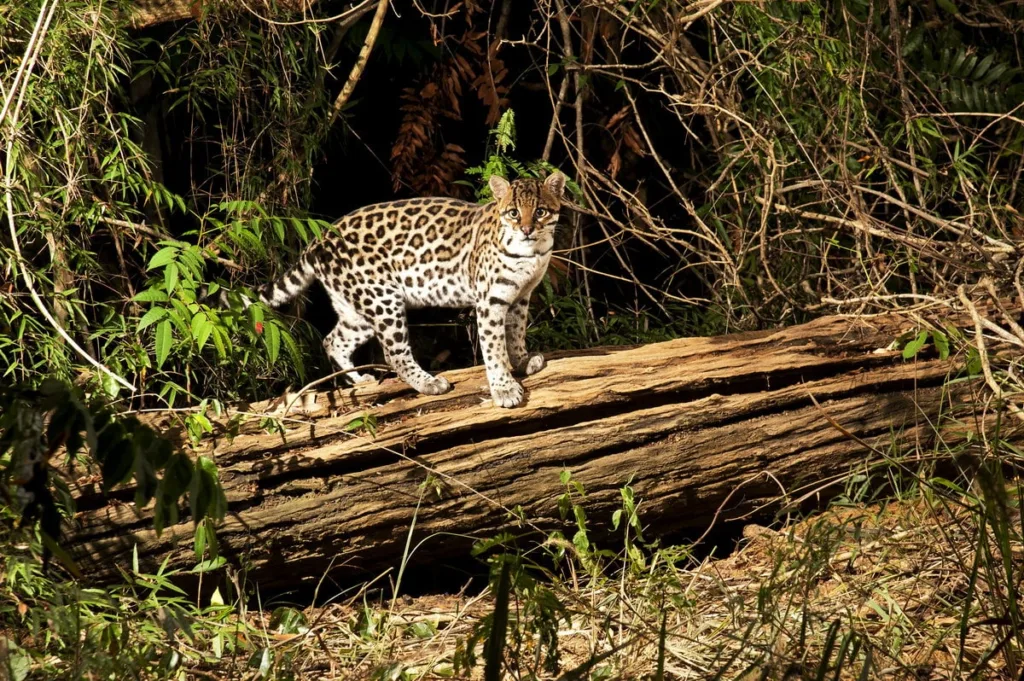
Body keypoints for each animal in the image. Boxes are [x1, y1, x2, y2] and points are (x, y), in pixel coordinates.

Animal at [252, 174, 565, 409]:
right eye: (514, 213)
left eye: (540, 211)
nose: (526, 229)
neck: (532, 252)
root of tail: (320, 238)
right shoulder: (490, 301)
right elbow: (494, 347)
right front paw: (504, 388)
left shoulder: (520, 297)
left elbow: (515, 333)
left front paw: (522, 361)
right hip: (383, 299)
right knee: (394, 354)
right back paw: (429, 382)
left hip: (356, 309)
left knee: (333, 340)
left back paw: (360, 381)